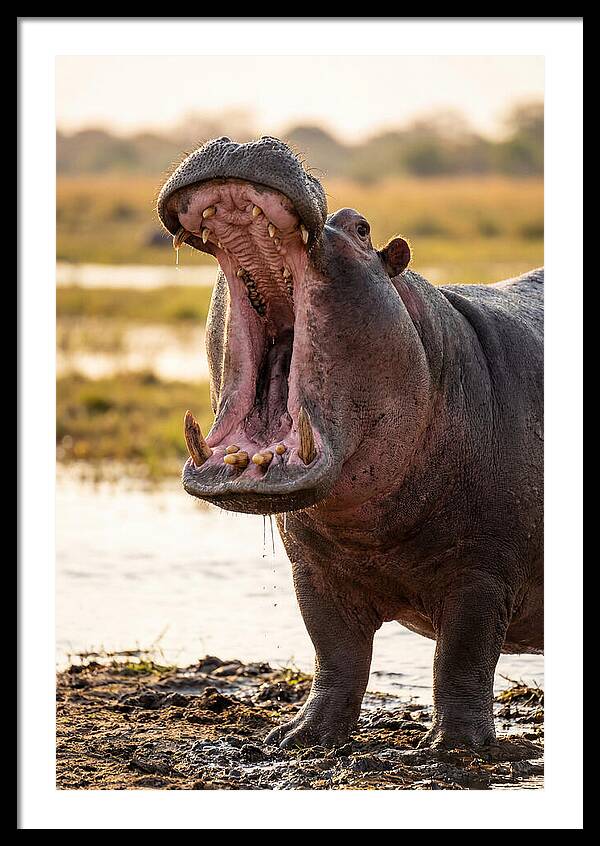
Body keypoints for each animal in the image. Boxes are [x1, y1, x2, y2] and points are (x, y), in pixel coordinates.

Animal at [157, 136, 543, 750]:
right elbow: (336, 653)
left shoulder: (483, 574)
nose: (244, 140)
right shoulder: (313, 572)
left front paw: (455, 748)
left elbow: (462, 657)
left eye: (361, 228)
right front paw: (298, 737)